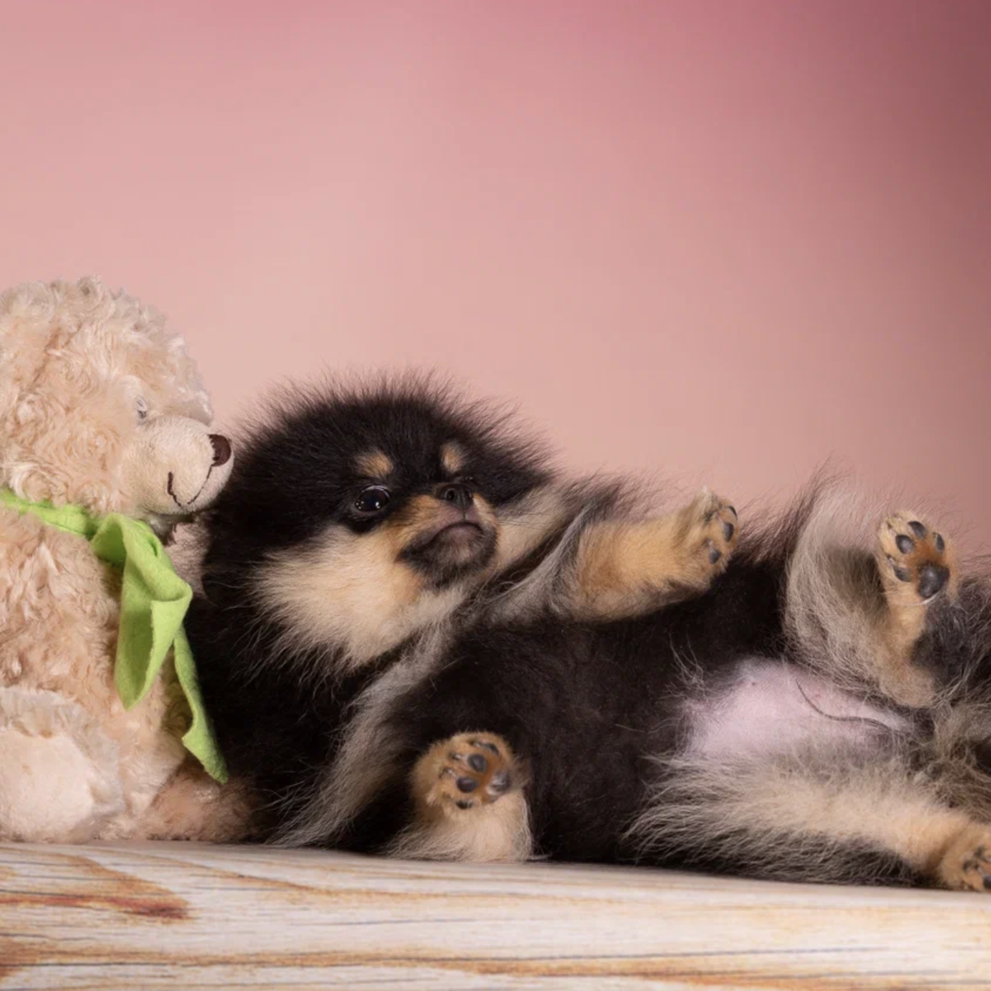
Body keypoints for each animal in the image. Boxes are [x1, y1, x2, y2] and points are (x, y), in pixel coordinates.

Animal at [188, 377, 991, 891]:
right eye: (371, 498)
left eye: (462, 473)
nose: (455, 493)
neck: (423, 634)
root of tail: (938, 742)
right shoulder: (360, 773)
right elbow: (472, 827)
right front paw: (465, 774)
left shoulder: (537, 592)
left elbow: (592, 563)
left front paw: (685, 543)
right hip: (756, 803)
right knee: (893, 817)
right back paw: (965, 850)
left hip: (794, 618)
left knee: (907, 660)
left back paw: (915, 582)